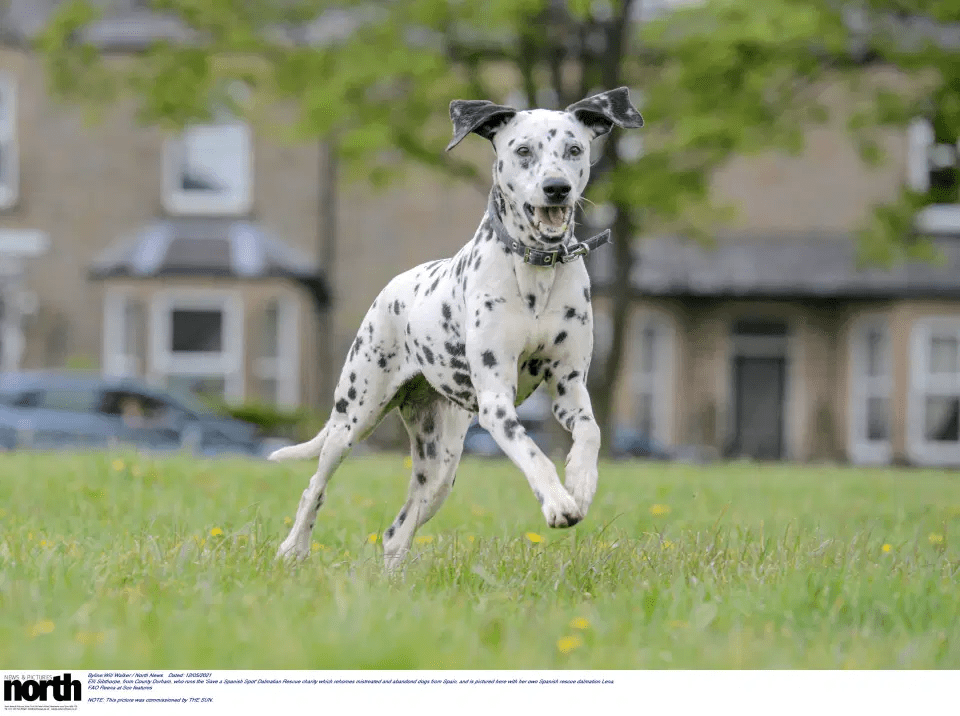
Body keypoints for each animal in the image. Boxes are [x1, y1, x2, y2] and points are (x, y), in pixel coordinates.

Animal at [270, 86, 644, 568]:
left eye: (574, 149)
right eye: (523, 150)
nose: (556, 188)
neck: (536, 273)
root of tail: (393, 288)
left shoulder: (570, 386)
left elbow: (591, 431)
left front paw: (580, 482)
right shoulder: (496, 403)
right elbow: (532, 452)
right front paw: (558, 502)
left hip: (441, 466)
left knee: (397, 531)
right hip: (352, 418)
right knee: (314, 487)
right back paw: (293, 548)